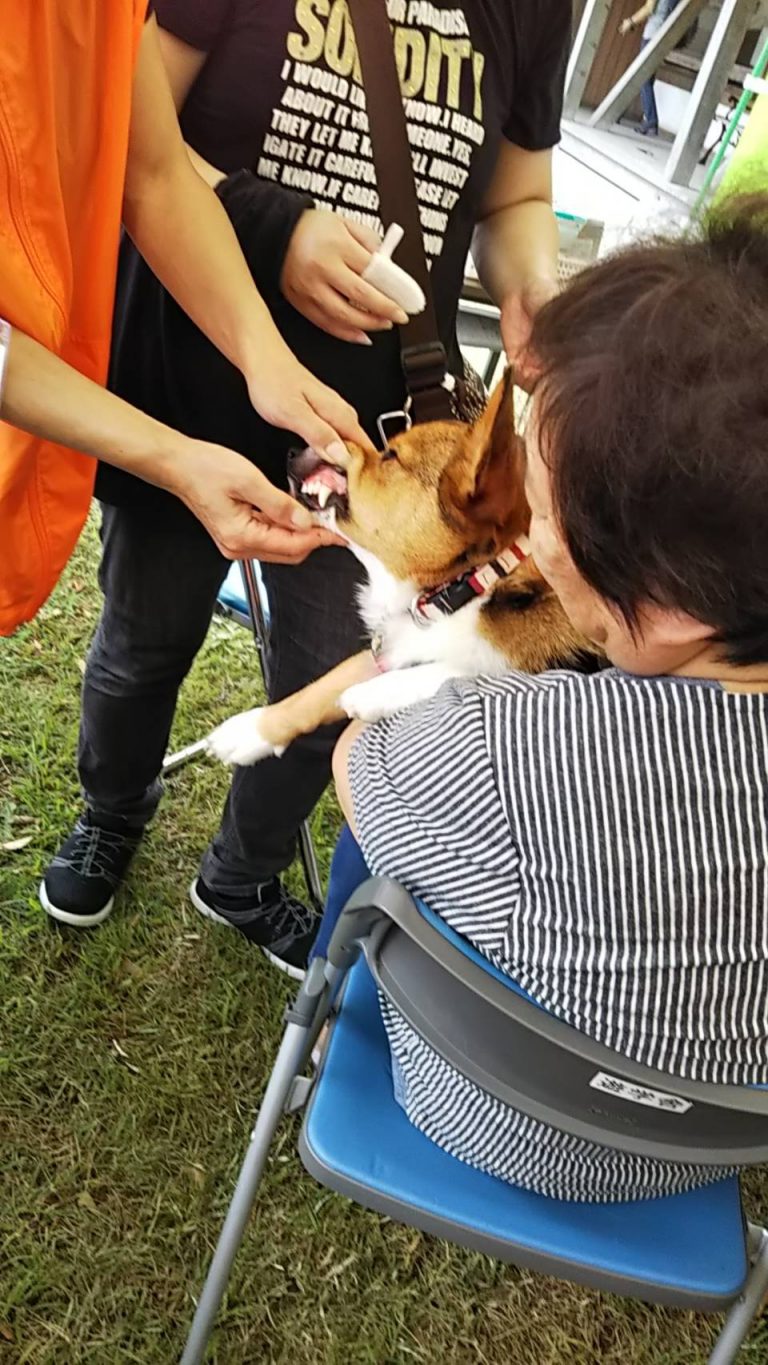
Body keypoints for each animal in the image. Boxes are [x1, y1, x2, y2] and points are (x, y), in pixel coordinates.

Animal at [208, 368, 594, 769]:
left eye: (391, 455)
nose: (294, 450)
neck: (470, 584)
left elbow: (472, 668)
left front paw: (377, 691)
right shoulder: (387, 649)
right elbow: (327, 681)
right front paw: (251, 731)